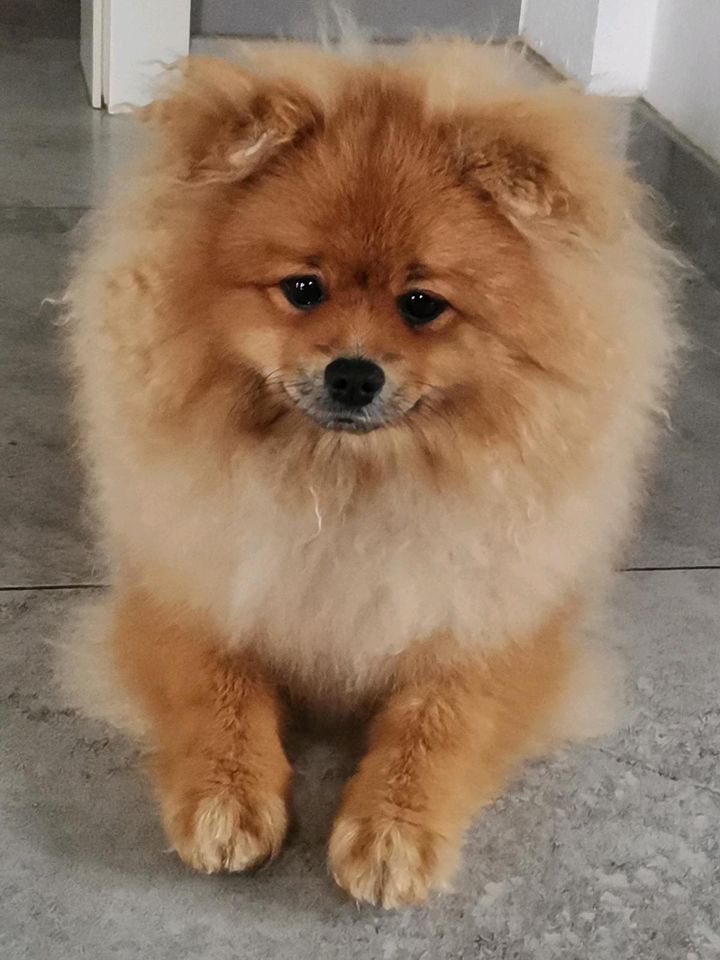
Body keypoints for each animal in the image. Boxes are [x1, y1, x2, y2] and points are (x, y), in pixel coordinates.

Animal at [62, 39, 676, 908]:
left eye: (421, 303)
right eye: (302, 288)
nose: (354, 372)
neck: (348, 486)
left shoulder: (497, 625)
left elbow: (440, 722)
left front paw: (392, 832)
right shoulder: (188, 590)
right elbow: (216, 689)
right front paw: (225, 801)